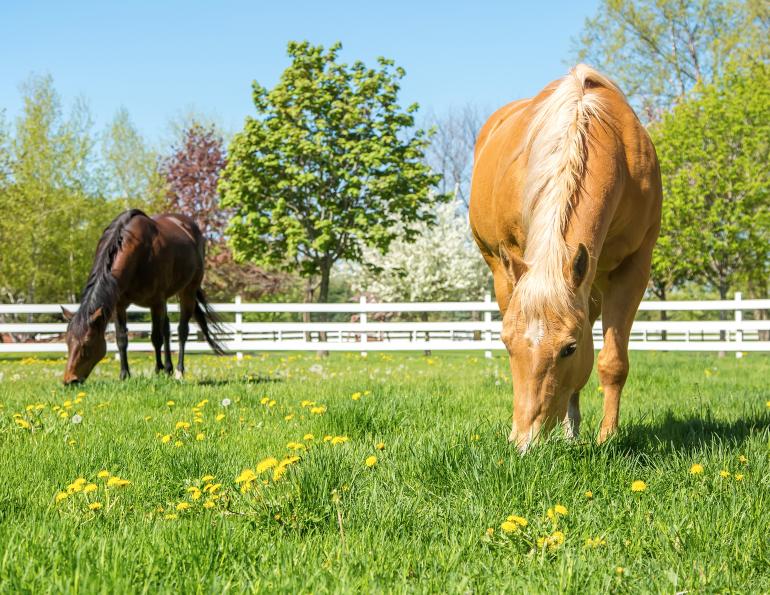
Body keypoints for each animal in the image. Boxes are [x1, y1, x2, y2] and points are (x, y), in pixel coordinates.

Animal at [62, 209, 225, 385]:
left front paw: (158, 371)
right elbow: (122, 339)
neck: (139, 252)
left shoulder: (156, 302)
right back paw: (168, 368)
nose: (69, 380)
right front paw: (125, 374)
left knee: (181, 331)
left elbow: (156, 338)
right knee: (167, 329)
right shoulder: (119, 305)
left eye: (87, 344)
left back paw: (178, 371)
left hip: (187, 291)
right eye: (67, 341)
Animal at [469, 65, 662, 451]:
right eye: (506, 344)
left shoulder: (634, 268)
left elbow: (612, 362)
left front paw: (607, 437)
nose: (524, 443)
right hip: (500, 269)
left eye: (569, 349)